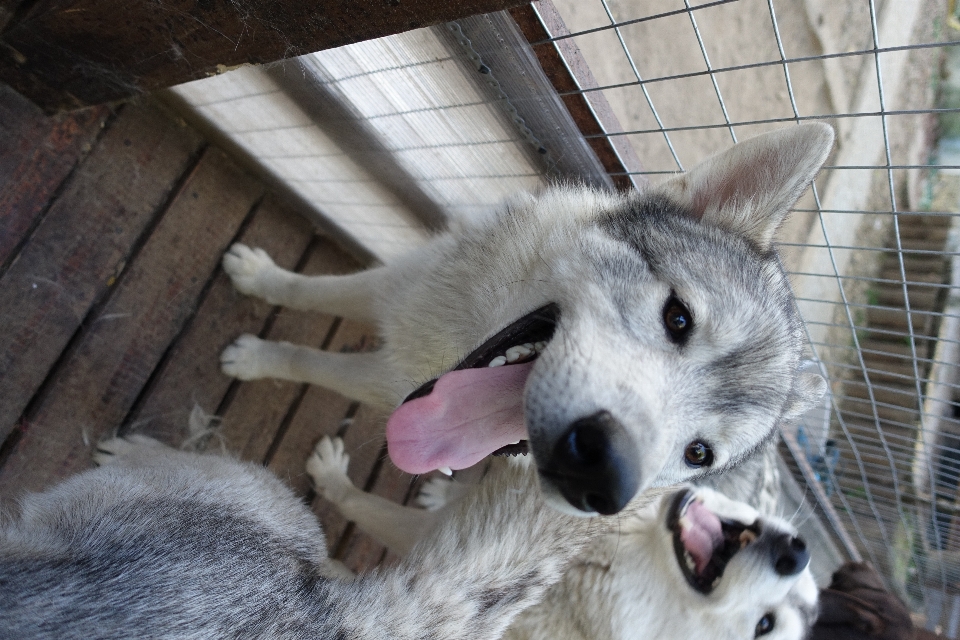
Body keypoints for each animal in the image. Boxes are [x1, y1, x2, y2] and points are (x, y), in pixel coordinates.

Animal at [218, 124, 832, 516]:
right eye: (677, 317)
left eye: (698, 453)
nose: (601, 479)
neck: (463, 327)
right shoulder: (398, 286)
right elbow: (314, 290)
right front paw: (258, 278)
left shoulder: (383, 384)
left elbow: (311, 363)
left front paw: (253, 358)